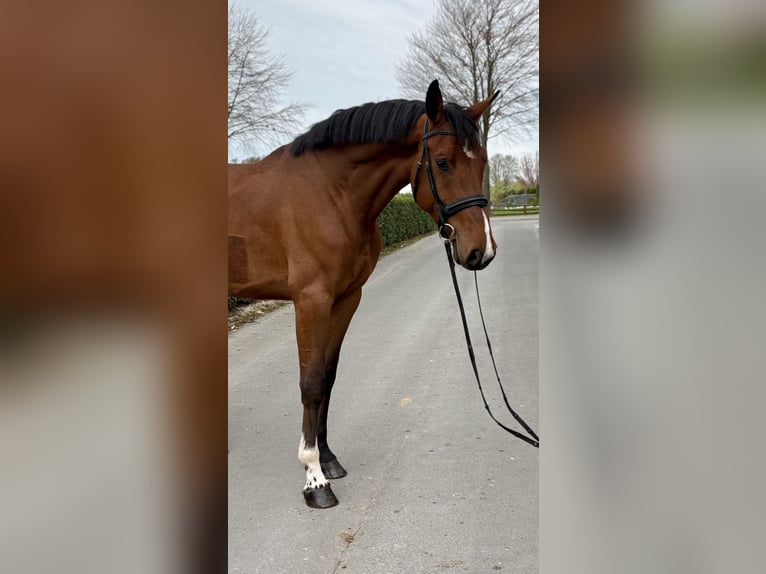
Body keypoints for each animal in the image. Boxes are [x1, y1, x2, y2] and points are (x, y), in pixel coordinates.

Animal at [228, 80, 499, 508]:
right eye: (442, 162)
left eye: (483, 161)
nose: (481, 251)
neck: (331, 194)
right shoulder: (311, 301)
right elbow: (310, 382)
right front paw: (315, 479)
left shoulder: (346, 298)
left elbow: (328, 375)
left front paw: (327, 458)